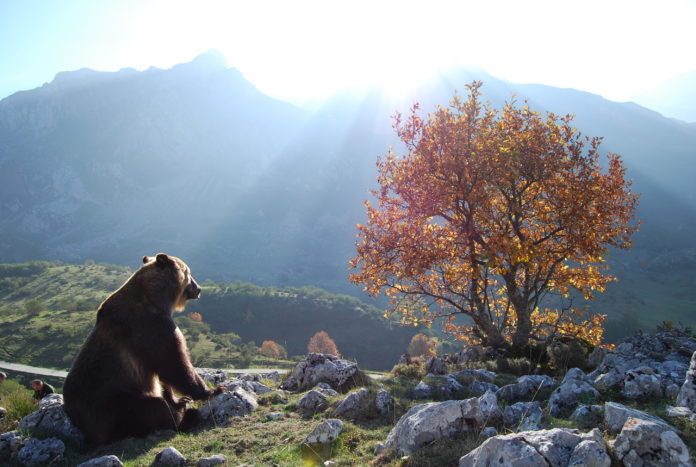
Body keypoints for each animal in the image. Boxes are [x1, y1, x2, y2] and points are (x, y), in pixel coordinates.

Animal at [63, 253, 222, 445]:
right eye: (189, 273)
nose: (198, 288)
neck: (157, 299)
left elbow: (165, 372)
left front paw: (178, 399)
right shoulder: (152, 328)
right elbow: (174, 363)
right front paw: (212, 390)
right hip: (114, 401)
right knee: (152, 408)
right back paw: (185, 417)